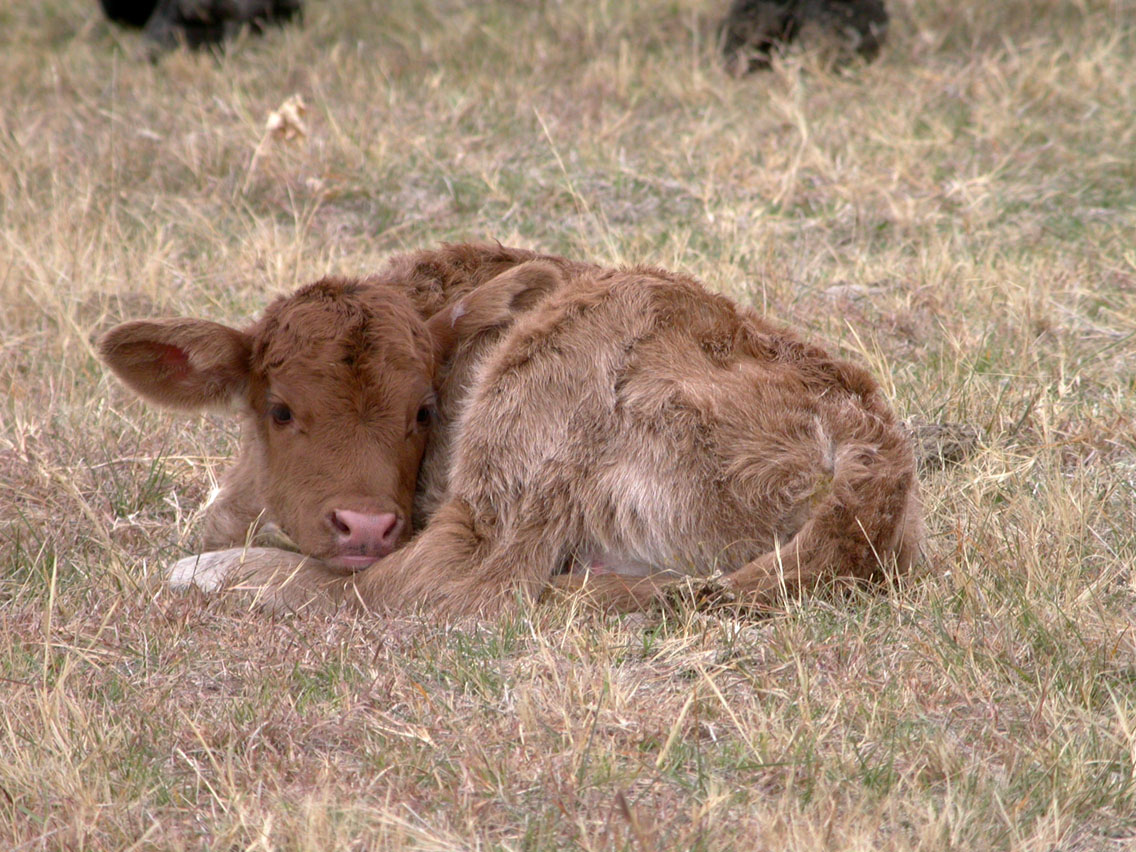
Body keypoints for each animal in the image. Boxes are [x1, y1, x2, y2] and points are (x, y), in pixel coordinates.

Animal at [138, 245, 924, 617]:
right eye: (281, 409)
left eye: (424, 411)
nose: (364, 525)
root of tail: (876, 449)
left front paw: (213, 562)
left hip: (551, 381)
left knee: (443, 585)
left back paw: (219, 574)